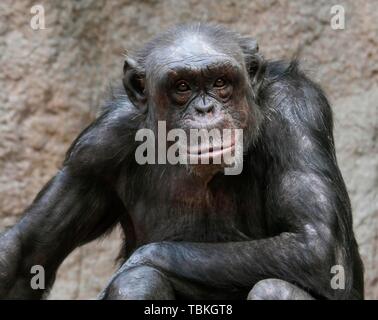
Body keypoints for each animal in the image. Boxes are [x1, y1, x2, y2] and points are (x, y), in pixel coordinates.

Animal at [0, 23, 364, 300]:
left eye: (220, 82)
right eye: (182, 86)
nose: (205, 110)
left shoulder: (296, 112)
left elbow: (317, 245)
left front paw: (140, 259)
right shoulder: (93, 152)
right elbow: (26, 255)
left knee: (274, 288)